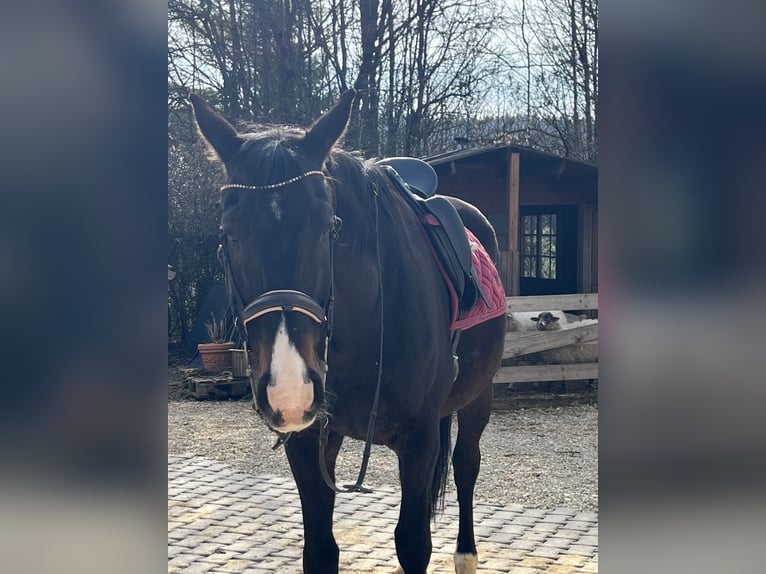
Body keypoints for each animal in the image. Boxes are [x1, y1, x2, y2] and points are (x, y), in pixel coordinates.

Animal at [190, 89, 507, 574]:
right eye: (230, 234)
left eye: (328, 230)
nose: (289, 390)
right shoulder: (308, 442)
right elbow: (321, 550)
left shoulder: (419, 440)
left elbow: (413, 543)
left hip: (479, 395)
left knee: (466, 465)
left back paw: (466, 555)